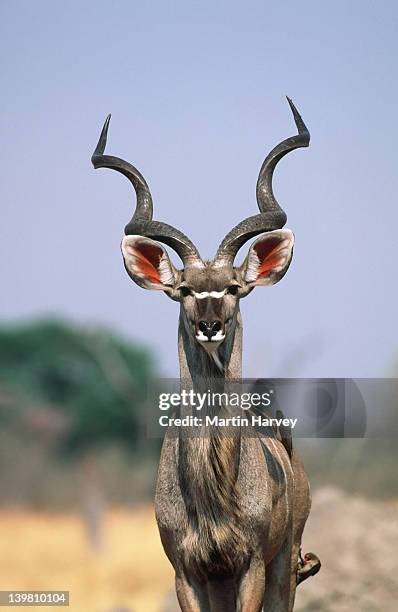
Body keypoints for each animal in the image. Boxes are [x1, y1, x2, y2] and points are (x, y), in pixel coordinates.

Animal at [91, 99, 318, 612]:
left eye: (233, 288)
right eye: (184, 291)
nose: (210, 326)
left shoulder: (252, 567)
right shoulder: (188, 571)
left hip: (285, 567)